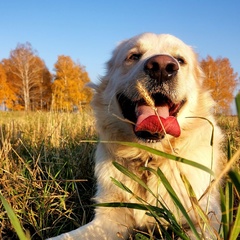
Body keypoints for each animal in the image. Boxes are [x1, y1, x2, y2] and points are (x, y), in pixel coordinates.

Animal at [48, 32, 225, 239]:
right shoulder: (109, 217)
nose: (162, 67)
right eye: (133, 56)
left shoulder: (207, 220)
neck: (150, 156)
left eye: (180, 60)